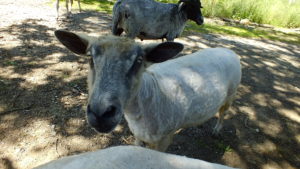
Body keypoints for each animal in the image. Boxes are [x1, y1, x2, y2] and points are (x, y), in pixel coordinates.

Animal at [54, 29, 241, 151]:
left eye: (138, 61)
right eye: (90, 58)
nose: (101, 113)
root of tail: (228, 50)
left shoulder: (164, 139)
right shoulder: (138, 136)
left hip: (231, 94)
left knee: (223, 113)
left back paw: (216, 131)